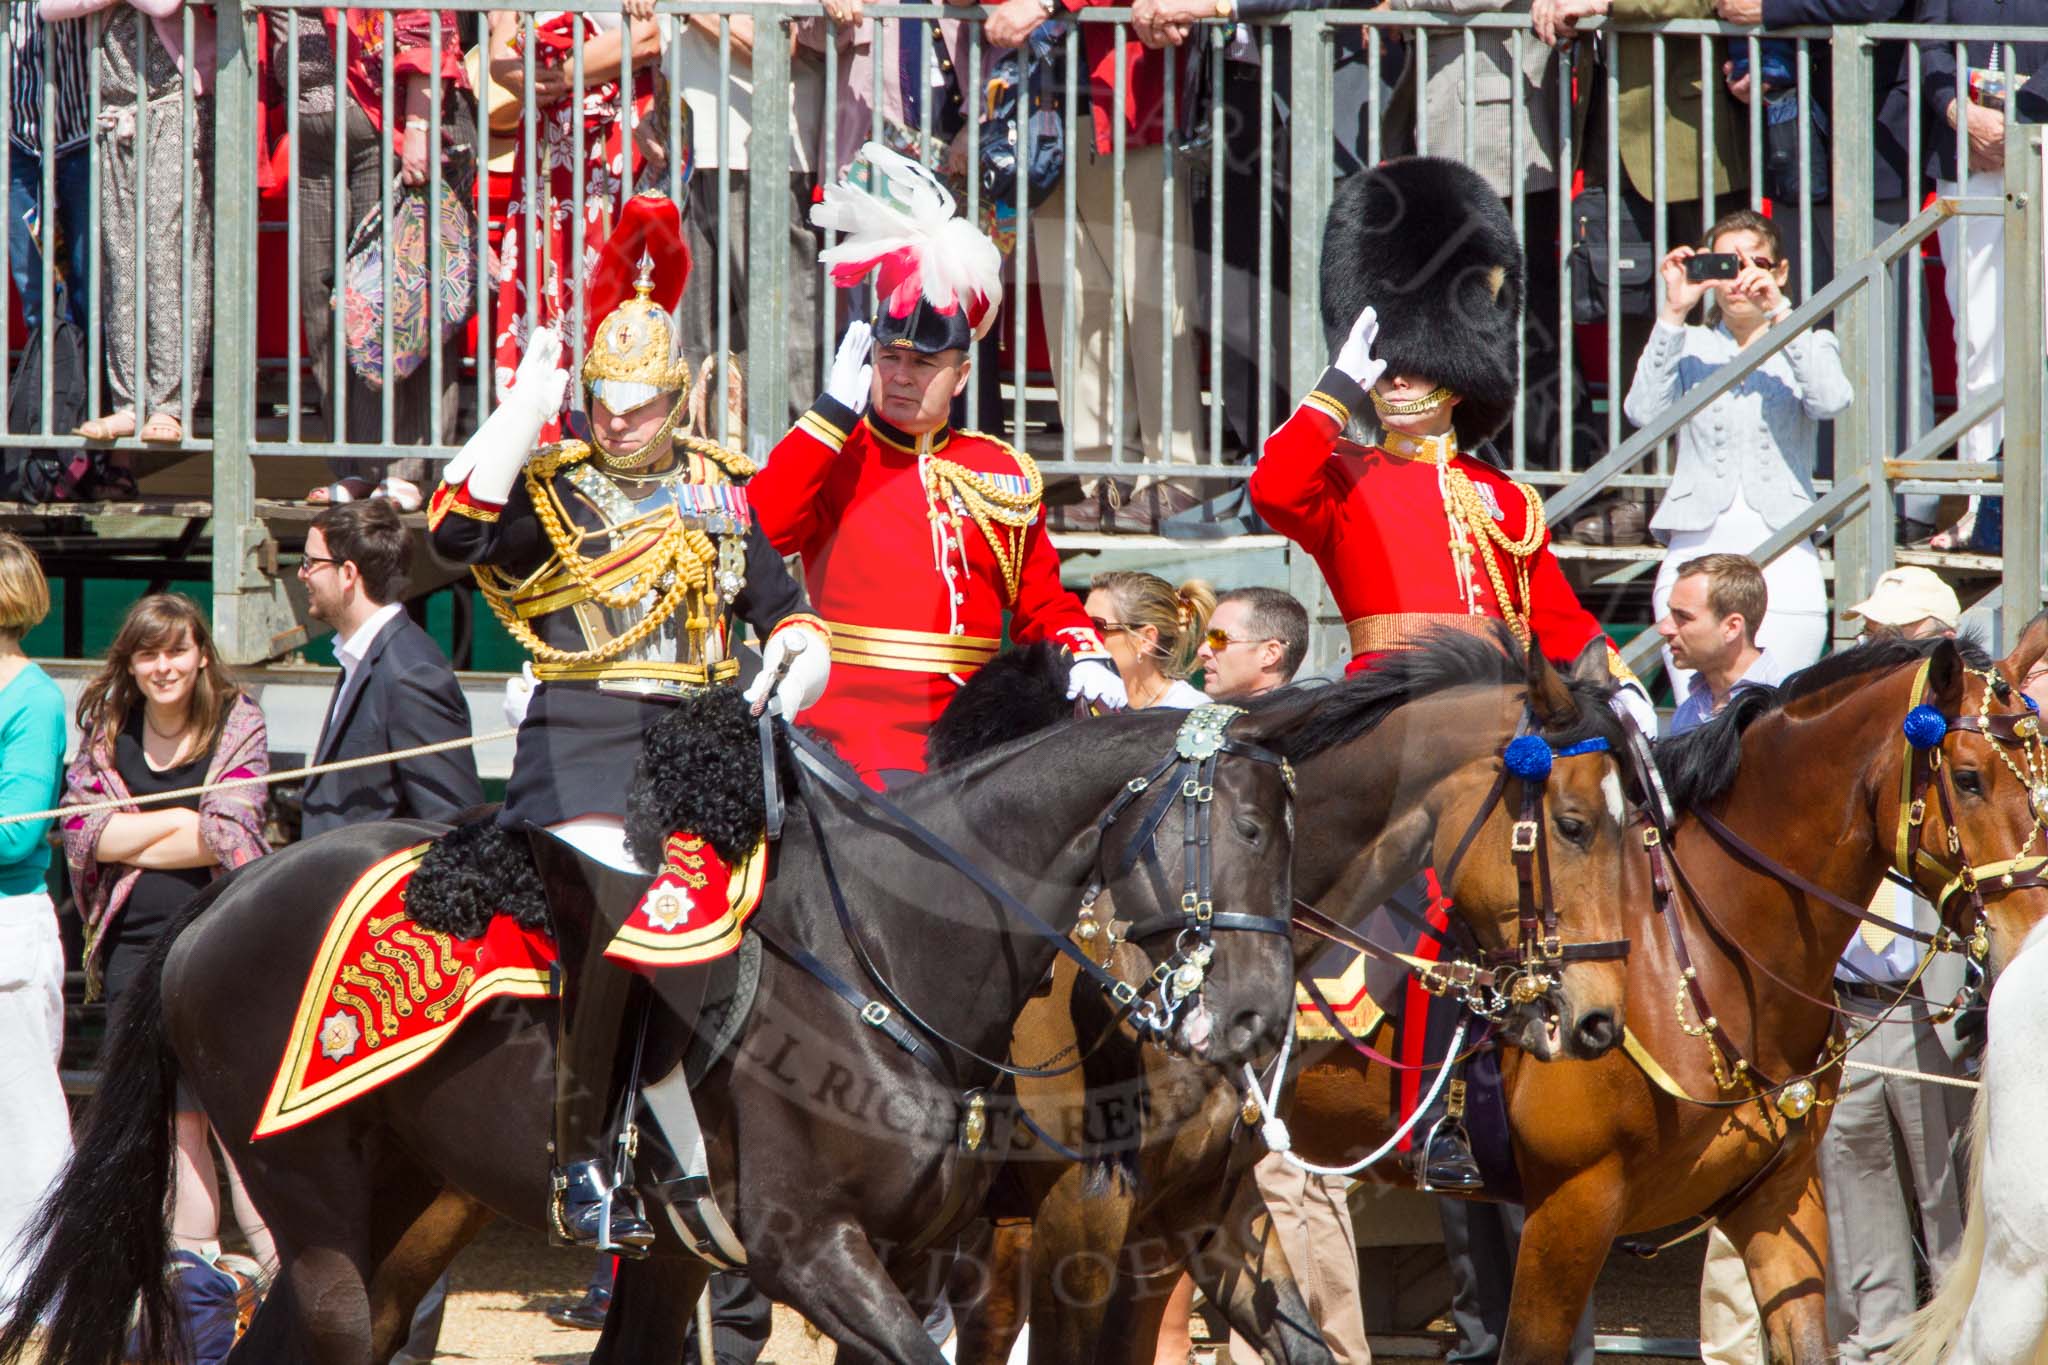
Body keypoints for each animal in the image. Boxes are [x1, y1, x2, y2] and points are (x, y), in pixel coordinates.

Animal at [0, 703, 1302, 1365]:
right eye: (1241, 826)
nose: (1252, 1015)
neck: (881, 958)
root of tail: (223, 900)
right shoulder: (809, 1252)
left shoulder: (913, 1255)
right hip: (316, 1210)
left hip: (410, 1206)